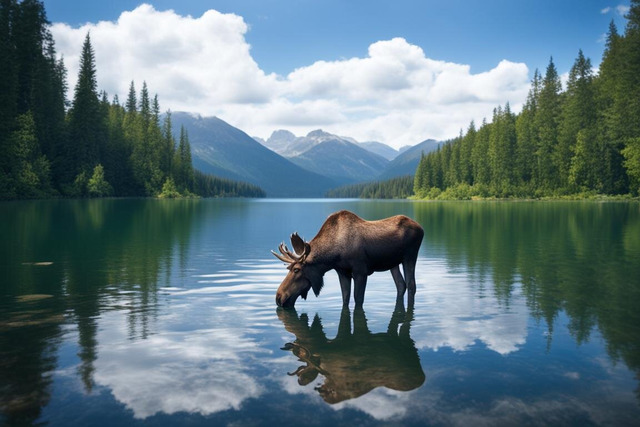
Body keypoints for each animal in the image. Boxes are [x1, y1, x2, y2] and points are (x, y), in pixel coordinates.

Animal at [272, 211, 424, 308]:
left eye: (296, 269)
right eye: (288, 268)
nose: (279, 297)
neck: (332, 256)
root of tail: (422, 228)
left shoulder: (361, 272)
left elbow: (358, 300)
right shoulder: (342, 272)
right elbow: (345, 298)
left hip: (410, 256)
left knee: (411, 285)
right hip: (393, 263)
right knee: (401, 284)